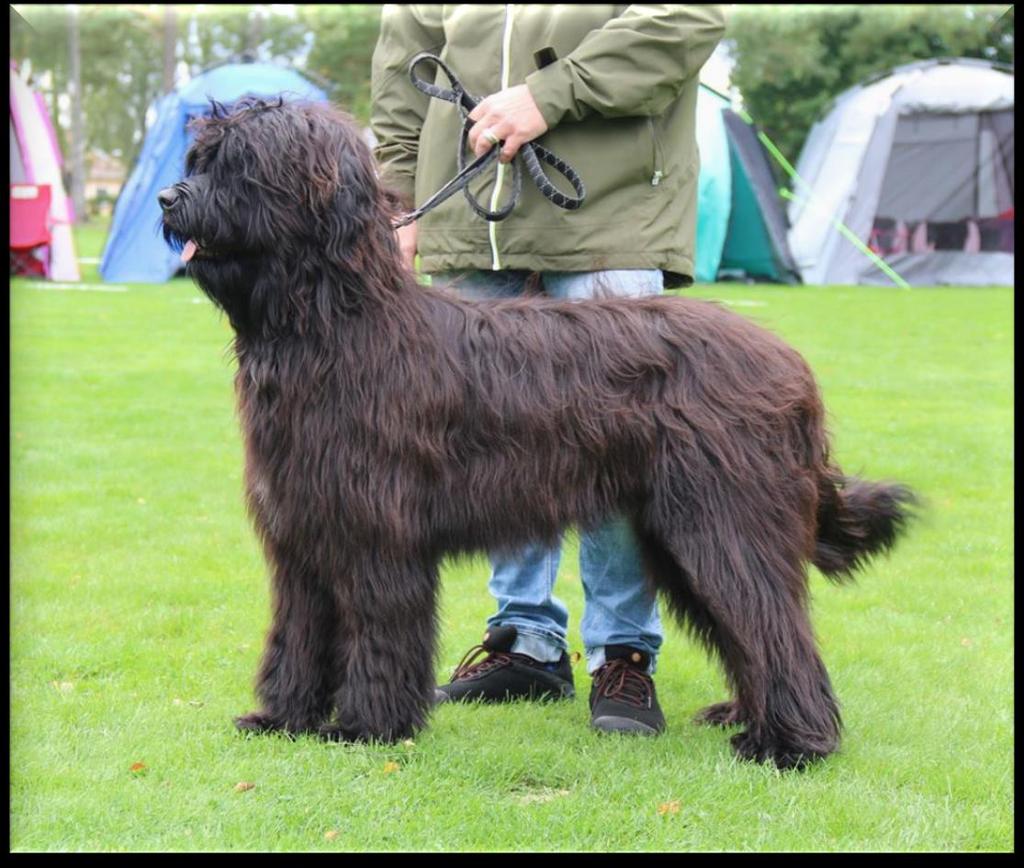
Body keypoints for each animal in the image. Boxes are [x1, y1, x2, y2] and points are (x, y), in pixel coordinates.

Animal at [161, 98, 921, 769]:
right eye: (200, 158)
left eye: (240, 165)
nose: (169, 198)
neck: (334, 324)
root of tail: (790, 364)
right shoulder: (303, 529)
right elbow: (297, 634)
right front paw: (282, 717)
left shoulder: (379, 533)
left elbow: (379, 632)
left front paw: (369, 728)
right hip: (679, 527)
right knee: (752, 627)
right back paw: (746, 715)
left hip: (725, 520)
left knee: (773, 623)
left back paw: (789, 745)